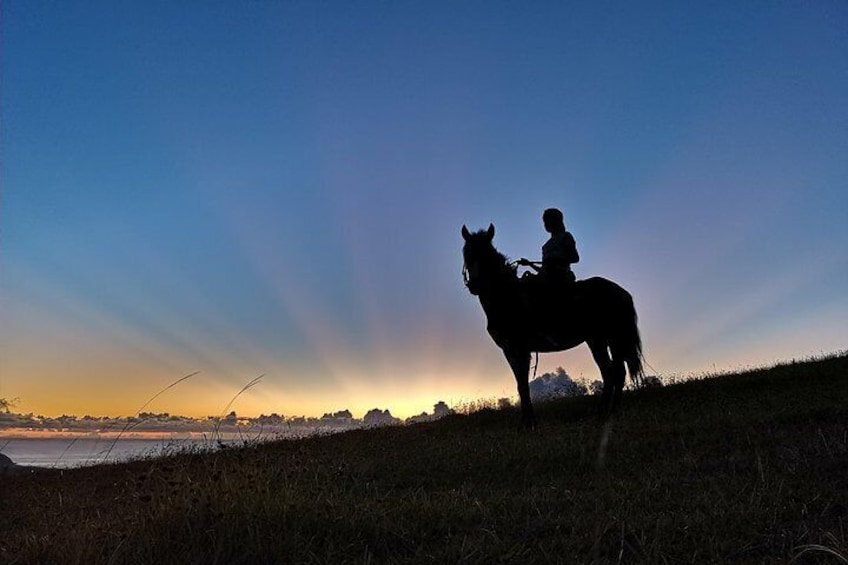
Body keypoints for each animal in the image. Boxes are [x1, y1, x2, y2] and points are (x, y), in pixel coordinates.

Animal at [464, 223, 644, 426]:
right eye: (467, 253)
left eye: (488, 254)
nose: (475, 285)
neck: (508, 297)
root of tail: (622, 292)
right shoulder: (509, 350)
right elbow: (520, 383)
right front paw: (526, 422)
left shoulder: (521, 348)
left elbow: (523, 385)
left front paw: (529, 424)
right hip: (604, 340)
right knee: (614, 372)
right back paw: (608, 412)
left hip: (607, 339)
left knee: (613, 372)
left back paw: (606, 412)